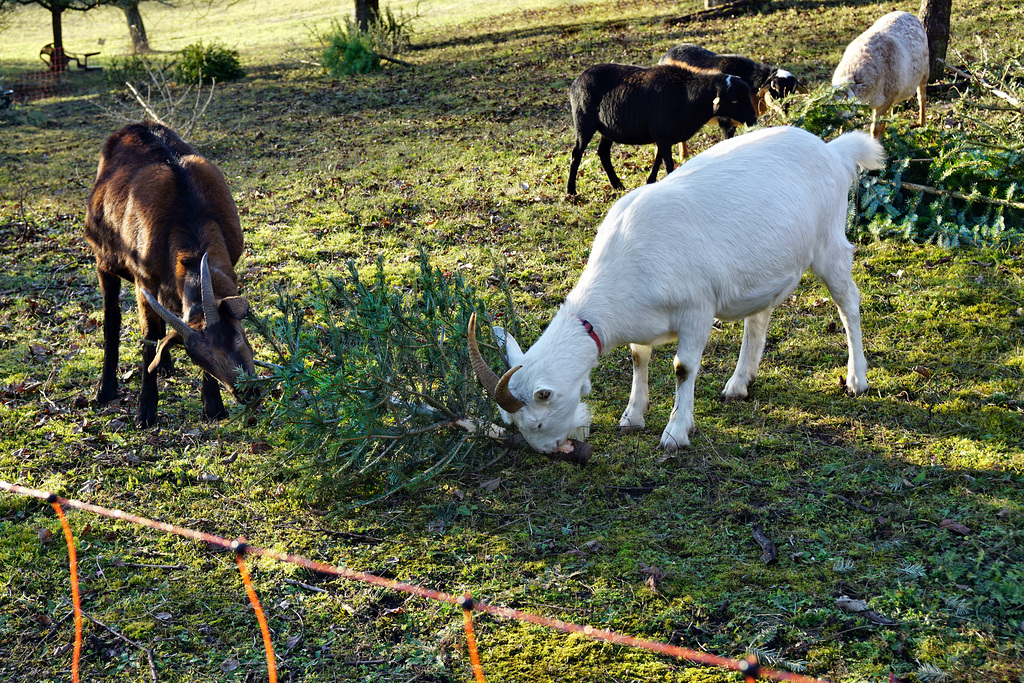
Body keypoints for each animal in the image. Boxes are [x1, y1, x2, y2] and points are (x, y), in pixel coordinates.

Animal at [85, 120, 258, 423]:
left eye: (237, 335)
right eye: (201, 360)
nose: (247, 393)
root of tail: (134, 125)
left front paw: (213, 405)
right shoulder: (144, 282)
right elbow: (148, 340)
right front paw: (145, 410)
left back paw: (164, 364)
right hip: (103, 261)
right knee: (112, 319)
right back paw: (105, 389)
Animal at [468, 125, 884, 456]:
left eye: (537, 422)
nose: (552, 450)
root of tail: (835, 152)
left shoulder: (696, 309)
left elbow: (683, 369)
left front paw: (675, 432)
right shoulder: (642, 319)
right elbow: (639, 358)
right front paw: (632, 416)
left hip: (829, 244)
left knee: (849, 303)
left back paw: (856, 379)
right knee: (759, 316)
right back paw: (739, 383)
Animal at [565, 63, 757, 196]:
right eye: (734, 99)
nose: (753, 119)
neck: (687, 97)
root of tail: (577, 81)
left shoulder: (663, 137)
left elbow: (658, 160)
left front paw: (650, 182)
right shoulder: (663, 136)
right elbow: (668, 164)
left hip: (608, 129)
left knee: (603, 152)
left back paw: (617, 185)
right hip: (584, 122)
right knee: (577, 153)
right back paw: (571, 190)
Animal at [827, 10, 933, 139]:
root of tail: (907, 13)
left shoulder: (884, 100)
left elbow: (874, 129)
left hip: (924, 71)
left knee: (921, 97)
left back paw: (921, 123)